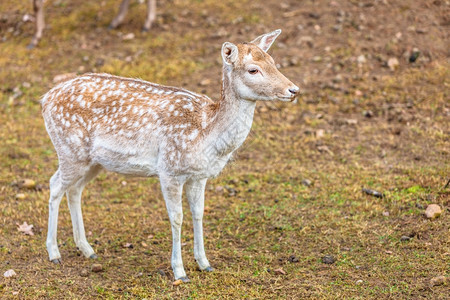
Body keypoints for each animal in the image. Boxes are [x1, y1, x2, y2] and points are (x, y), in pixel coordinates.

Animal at [40, 29, 298, 282]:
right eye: (253, 69)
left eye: (273, 62)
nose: (293, 90)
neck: (205, 133)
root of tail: (45, 99)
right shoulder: (169, 170)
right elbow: (177, 217)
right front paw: (180, 272)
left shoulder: (199, 175)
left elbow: (198, 214)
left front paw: (205, 263)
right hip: (69, 149)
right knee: (54, 185)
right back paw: (54, 253)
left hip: (93, 162)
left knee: (74, 189)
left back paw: (87, 249)